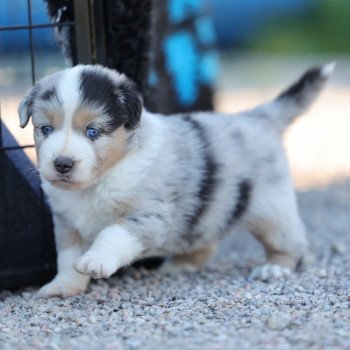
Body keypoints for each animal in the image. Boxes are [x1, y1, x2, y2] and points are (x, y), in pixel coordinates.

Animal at [17, 62, 334, 296]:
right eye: (45, 129)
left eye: (93, 131)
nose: (62, 164)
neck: (97, 182)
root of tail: (257, 117)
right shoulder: (67, 222)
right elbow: (67, 257)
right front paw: (63, 287)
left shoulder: (150, 216)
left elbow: (112, 234)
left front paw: (96, 260)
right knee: (205, 240)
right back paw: (180, 266)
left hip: (272, 209)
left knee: (290, 244)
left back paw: (275, 267)